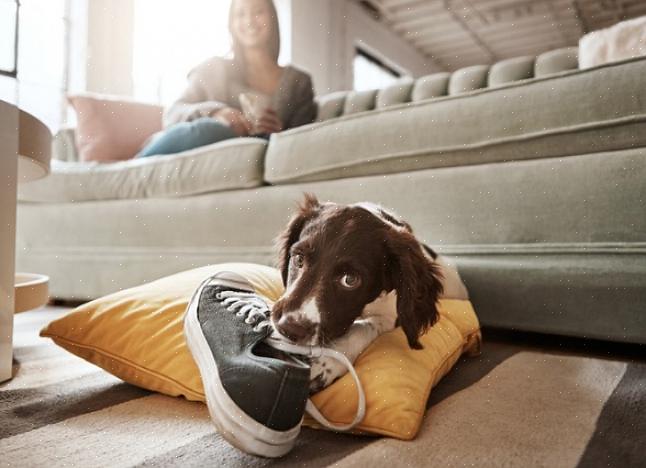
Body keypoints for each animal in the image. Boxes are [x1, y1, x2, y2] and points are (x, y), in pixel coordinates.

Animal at [270, 193, 470, 392]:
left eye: (350, 280)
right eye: (299, 259)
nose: (289, 328)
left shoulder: (393, 315)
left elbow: (365, 326)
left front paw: (327, 362)